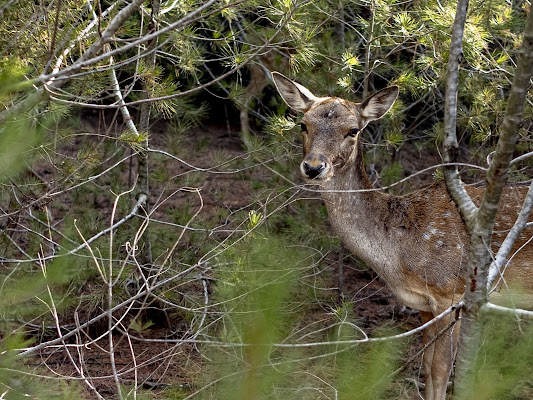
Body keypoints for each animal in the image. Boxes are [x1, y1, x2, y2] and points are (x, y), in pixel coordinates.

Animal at [272, 71, 532, 400]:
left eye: (353, 130)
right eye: (303, 124)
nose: (314, 167)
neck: (397, 255)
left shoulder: (450, 291)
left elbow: (441, 371)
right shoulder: (423, 305)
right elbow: (427, 367)